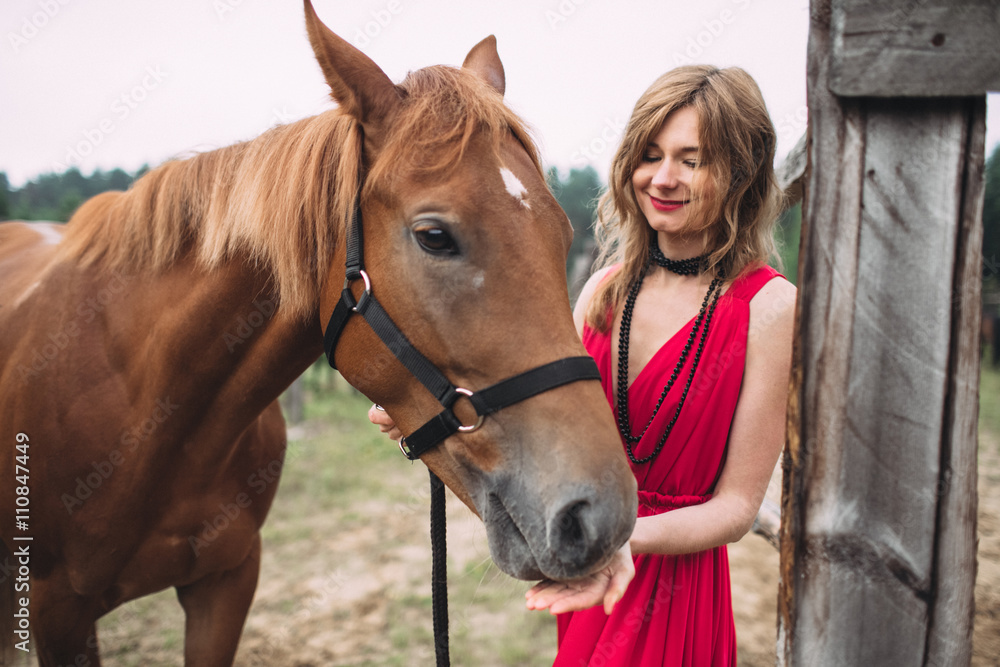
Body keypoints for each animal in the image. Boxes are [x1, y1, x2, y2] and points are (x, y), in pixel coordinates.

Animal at [0, 2, 637, 664]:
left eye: (563, 233)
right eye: (434, 236)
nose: (601, 513)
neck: (151, 411)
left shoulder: (224, 585)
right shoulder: (58, 611)